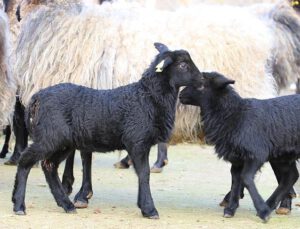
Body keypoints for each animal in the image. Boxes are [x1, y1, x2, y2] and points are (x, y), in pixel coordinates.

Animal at [11, 42, 204, 218]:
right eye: (183, 65)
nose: (202, 80)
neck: (148, 97)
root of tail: (37, 97)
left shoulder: (142, 143)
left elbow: (143, 174)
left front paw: (143, 205)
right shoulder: (137, 141)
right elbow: (144, 174)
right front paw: (149, 209)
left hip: (62, 142)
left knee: (49, 166)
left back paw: (66, 205)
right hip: (50, 137)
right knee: (26, 160)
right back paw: (19, 205)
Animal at [179, 71, 298, 222]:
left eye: (201, 85)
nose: (180, 95)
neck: (235, 114)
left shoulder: (256, 154)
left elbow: (245, 178)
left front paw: (262, 211)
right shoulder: (237, 158)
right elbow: (236, 180)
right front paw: (230, 209)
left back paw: (268, 207)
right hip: (282, 155)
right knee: (291, 176)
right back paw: (270, 205)